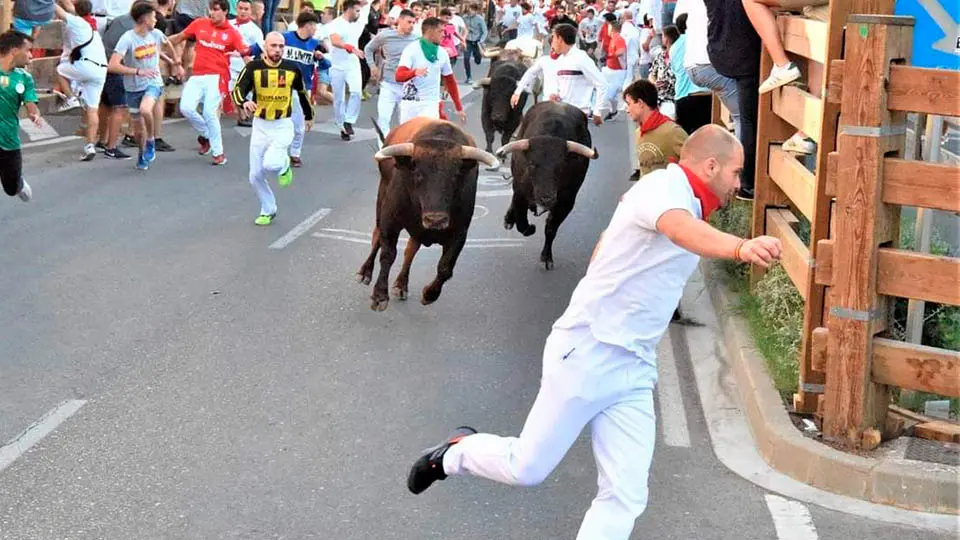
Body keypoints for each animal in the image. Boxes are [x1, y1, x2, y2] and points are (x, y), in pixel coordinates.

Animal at [356, 118, 498, 312]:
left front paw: (429, 294)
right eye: (417, 174)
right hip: (381, 199)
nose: (435, 220)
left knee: (410, 250)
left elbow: (445, 268)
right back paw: (365, 273)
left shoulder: (460, 233)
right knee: (377, 237)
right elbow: (387, 254)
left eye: (455, 176)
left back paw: (401, 285)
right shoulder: (390, 220)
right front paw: (379, 296)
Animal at [498, 101, 596, 270]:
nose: (547, 198)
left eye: (562, 166)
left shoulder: (566, 202)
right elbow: (521, 222)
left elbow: (551, 228)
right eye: (532, 164)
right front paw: (528, 227)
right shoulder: (520, 192)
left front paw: (546, 257)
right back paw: (509, 220)